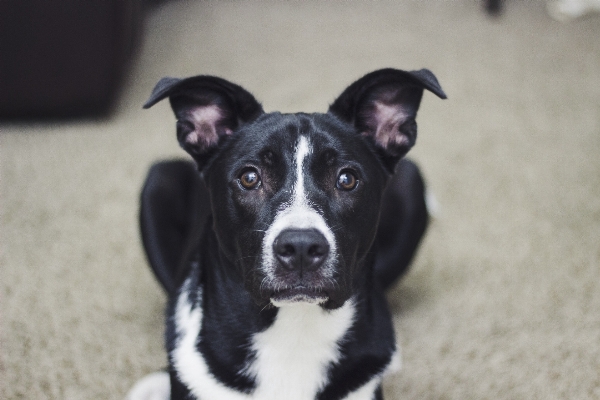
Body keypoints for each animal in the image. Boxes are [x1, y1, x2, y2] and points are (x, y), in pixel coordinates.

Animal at [127, 69, 446, 400]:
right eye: (249, 177)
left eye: (347, 179)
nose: (301, 247)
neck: (294, 332)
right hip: (157, 183)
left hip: (412, 184)